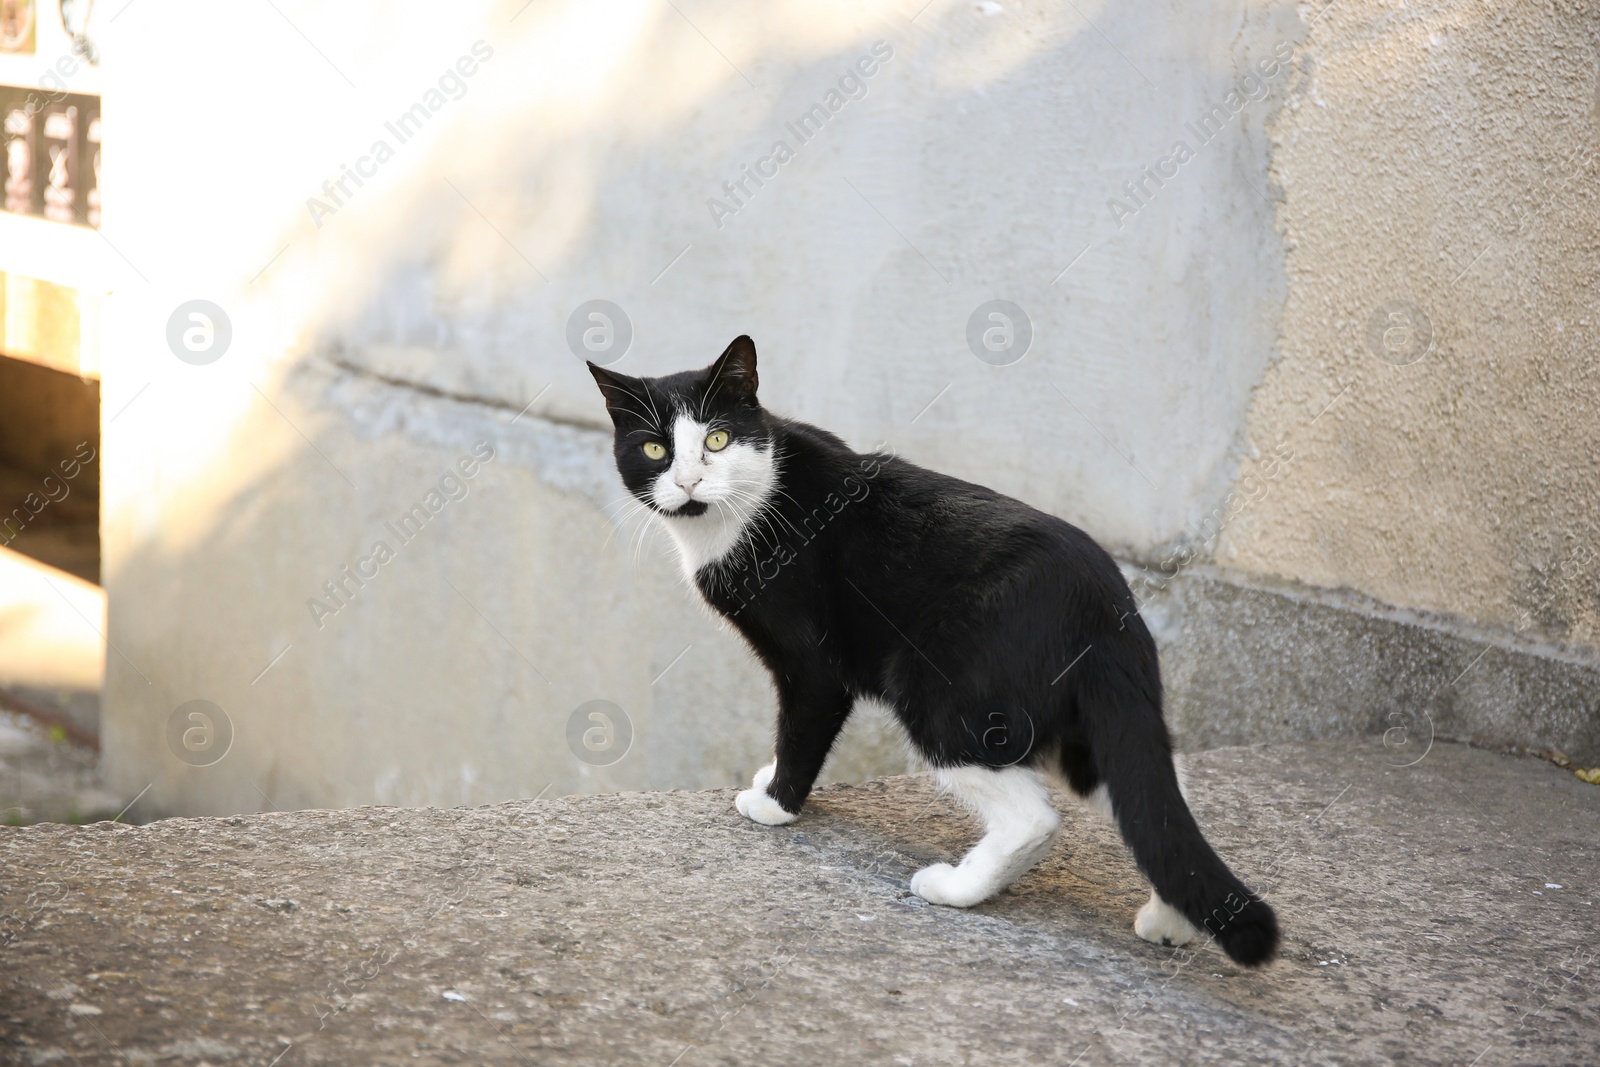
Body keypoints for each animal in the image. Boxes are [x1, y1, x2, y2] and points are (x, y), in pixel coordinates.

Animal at [595, 335, 1280, 966]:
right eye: (655, 449)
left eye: (715, 440)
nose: (688, 480)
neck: (747, 506)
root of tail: (1107, 606)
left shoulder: (812, 665)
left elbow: (801, 729)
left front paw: (774, 803)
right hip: (1086, 719)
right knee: (1153, 790)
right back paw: (1172, 921)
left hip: (938, 693)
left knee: (1034, 817)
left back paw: (955, 888)